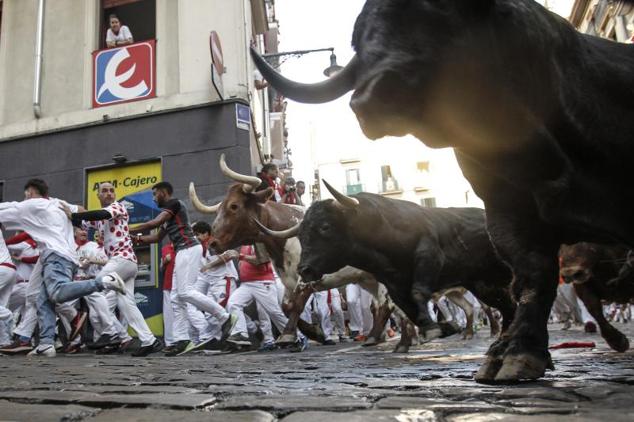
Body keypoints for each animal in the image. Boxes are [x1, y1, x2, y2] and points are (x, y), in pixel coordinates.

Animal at [252, 0, 632, 382]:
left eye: (326, 228)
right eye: (303, 233)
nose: (306, 270)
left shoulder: (429, 252)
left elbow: (420, 289)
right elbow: (413, 302)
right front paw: (444, 330)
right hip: (483, 282)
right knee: (504, 304)